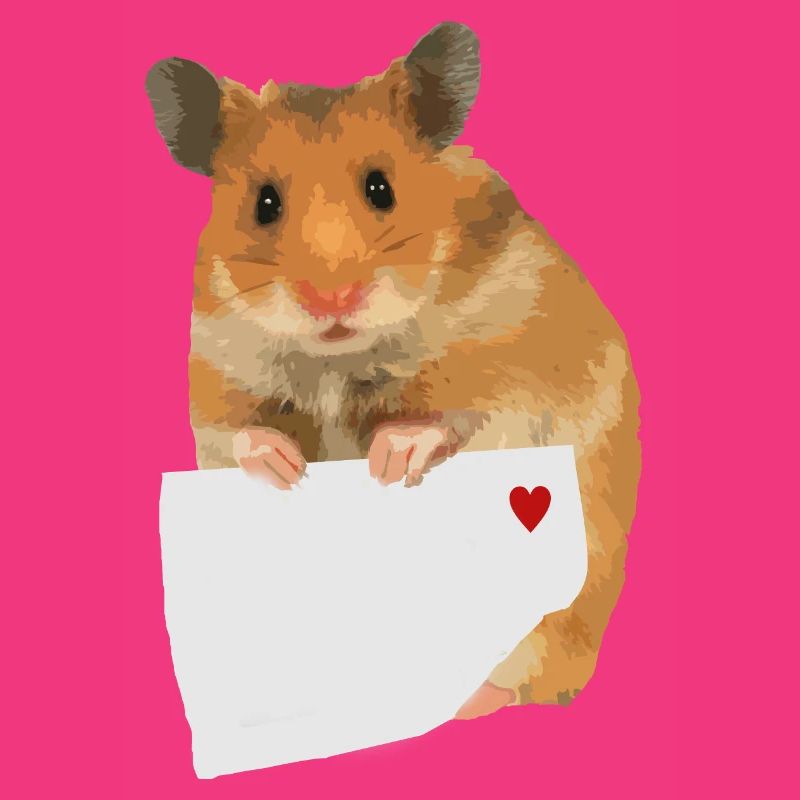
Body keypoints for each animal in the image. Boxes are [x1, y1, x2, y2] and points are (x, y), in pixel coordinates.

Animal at [145, 22, 641, 717]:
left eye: (382, 188)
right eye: (264, 203)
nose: (331, 300)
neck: (339, 357)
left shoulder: (520, 369)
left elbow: (458, 419)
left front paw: (387, 458)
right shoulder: (216, 375)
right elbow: (239, 435)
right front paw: (288, 469)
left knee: (538, 672)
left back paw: (470, 700)